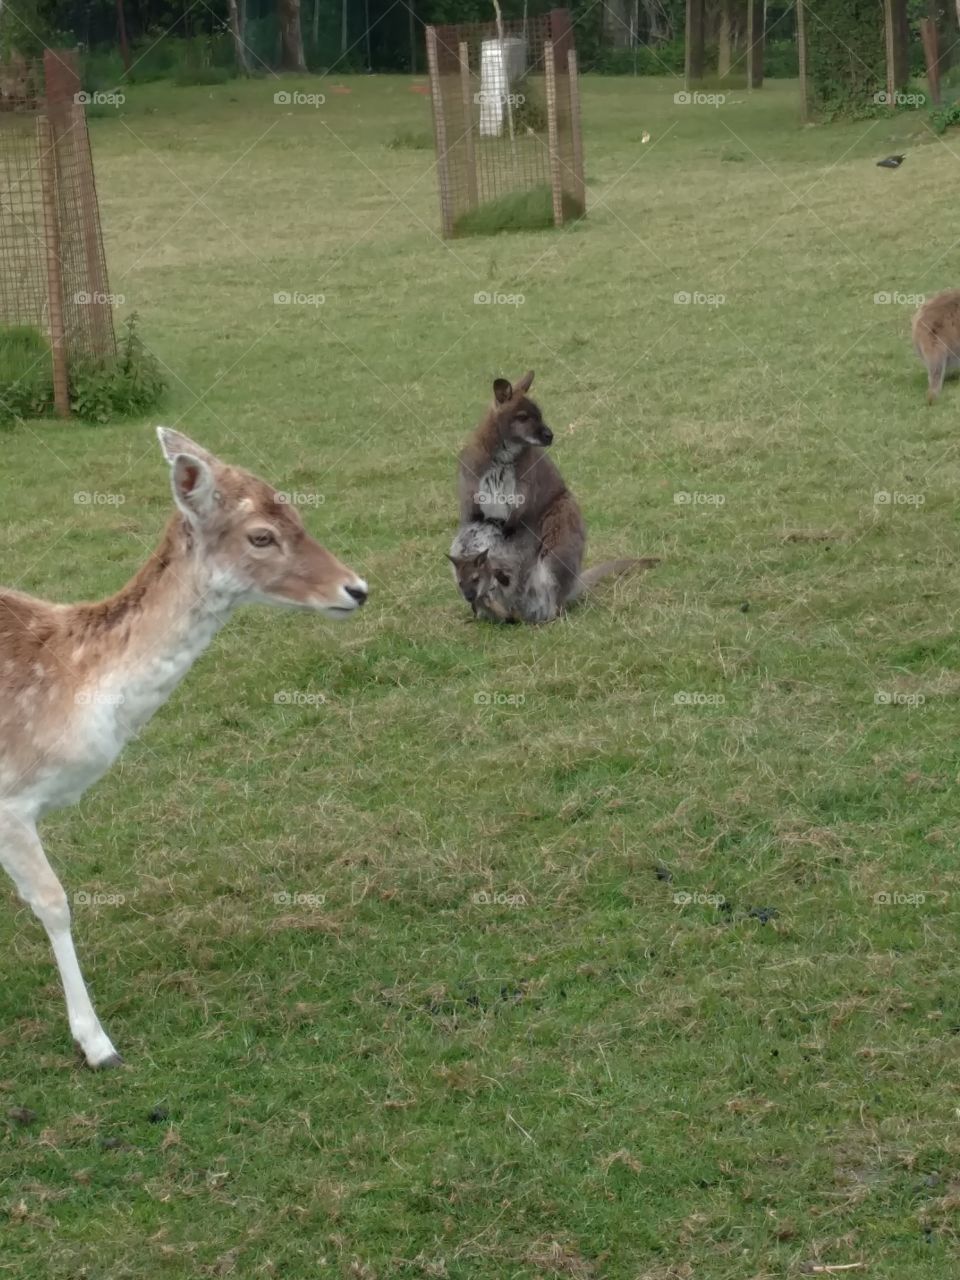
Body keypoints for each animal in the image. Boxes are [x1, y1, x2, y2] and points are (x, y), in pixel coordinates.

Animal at [0, 424, 371, 1064]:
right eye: (261, 535)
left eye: (298, 512)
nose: (357, 588)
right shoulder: (9, 799)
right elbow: (54, 902)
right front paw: (98, 1044)